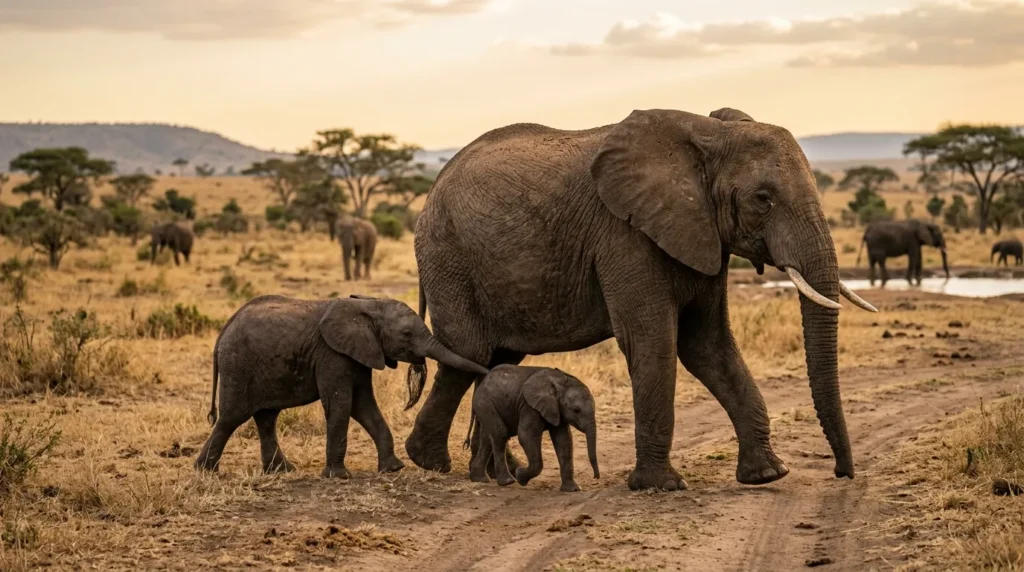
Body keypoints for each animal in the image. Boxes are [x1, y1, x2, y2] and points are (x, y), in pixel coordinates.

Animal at [193, 293, 490, 478]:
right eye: (406, 334)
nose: (490, 369)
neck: (370, 305)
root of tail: (224, 330)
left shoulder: (361, 352)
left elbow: (364, 406)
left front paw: (393, 469)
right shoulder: (332, 354)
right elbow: (341, 403)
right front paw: (339, 476)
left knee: (266, 418)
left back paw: (282, 471)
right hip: (238, 367)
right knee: (231, 418)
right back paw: (204, 471)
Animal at [467, 365, 599, 492]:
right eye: (576, 410)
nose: (596, 477)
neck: (560, 382)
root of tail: (481, 383)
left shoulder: (557, 409)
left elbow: (564, 440)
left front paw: (573, 490)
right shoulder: (529, 406)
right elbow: (526, 436)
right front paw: (520, 476)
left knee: (488, 438)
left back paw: (480, 479)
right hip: (485, 403)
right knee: (500, 433)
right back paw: (508, 481)